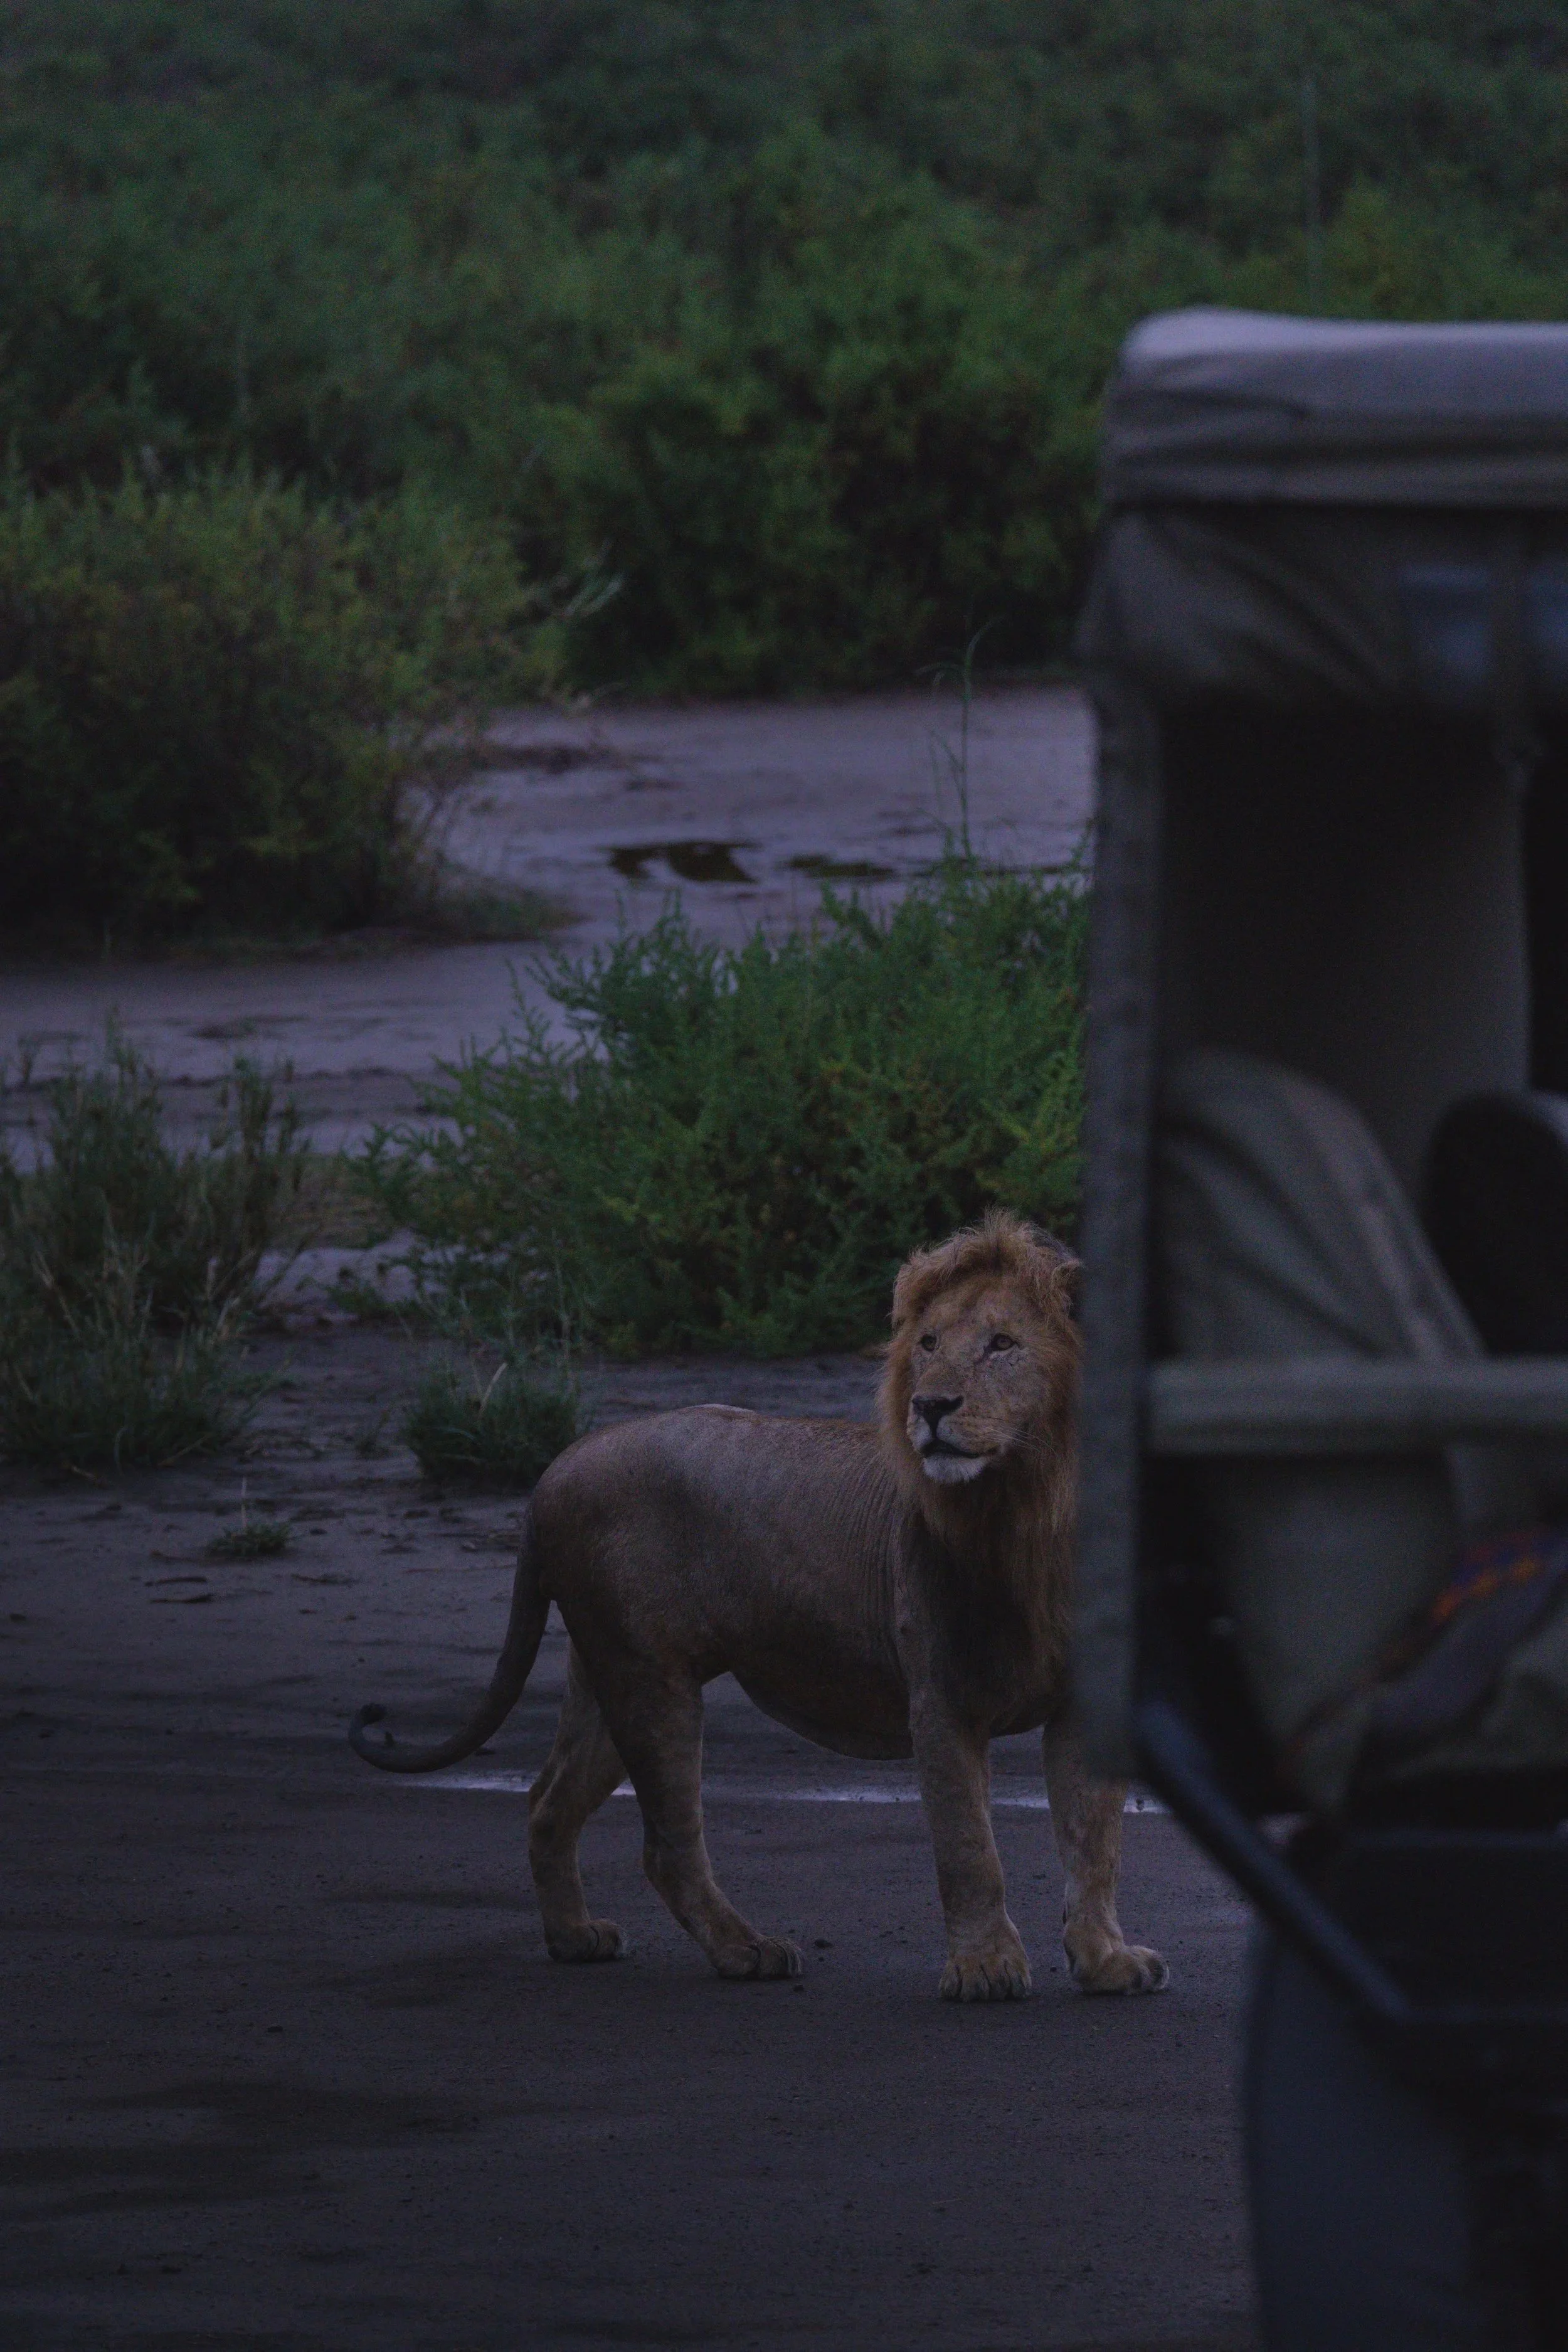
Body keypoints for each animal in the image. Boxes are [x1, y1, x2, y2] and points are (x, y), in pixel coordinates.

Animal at [350, 1212, 1168, 2002]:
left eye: (1002, 1343)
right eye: (928, 1343)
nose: (929, 1404)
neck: (1031, 1511)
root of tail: (556, 1468)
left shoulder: (1085, 1702)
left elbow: (1094, 1840)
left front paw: (1105, 1959)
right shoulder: (941, 1696)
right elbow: (970, 1847)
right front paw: (985, 1968)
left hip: (604, 1668)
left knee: (548, 1800)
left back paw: (575, 1937)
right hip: (650, 1678)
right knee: (667, 1844)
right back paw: (746, 1950)